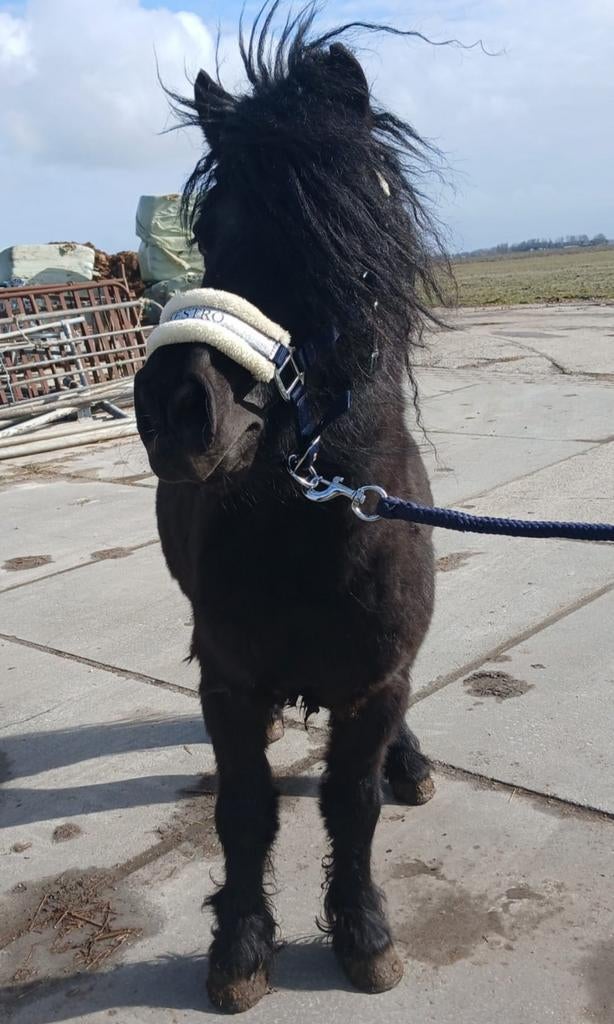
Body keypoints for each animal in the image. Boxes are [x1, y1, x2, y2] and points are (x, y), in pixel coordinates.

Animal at [135, 3, 448, 1012]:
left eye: (322, 229)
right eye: (207, 225)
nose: (177, 408)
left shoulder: (377, 679)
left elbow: (352, 806)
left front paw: (363, 934)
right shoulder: (229, 686)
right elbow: (245, 812)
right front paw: (240, 948)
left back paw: (411, 763)